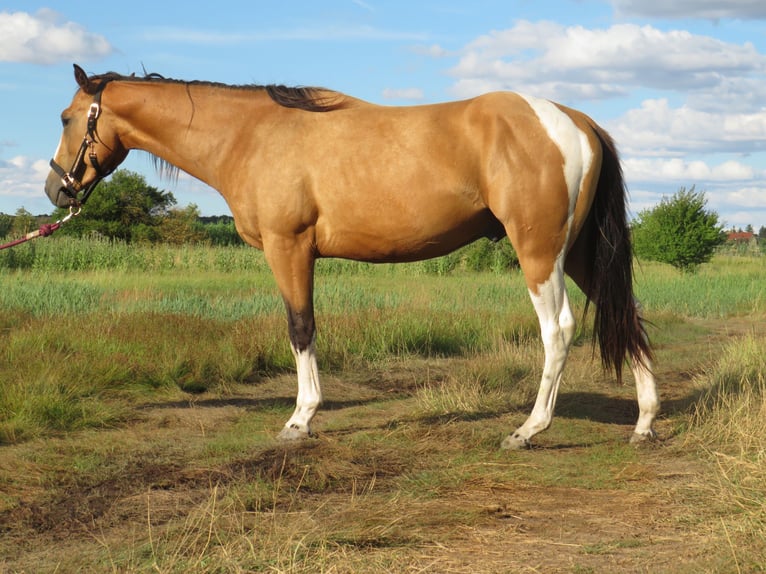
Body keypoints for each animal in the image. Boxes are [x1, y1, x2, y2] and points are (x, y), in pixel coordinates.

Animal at [45, 64, 664, 450]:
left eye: (66, 118)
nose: (57, 191)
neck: (252, 134)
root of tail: (573, 120)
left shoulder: (289, 247)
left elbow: (300, 328)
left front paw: (300, 419)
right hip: (579, 252)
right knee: (626, 315)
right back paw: (644, 423)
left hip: (538, 252)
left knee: (558, 330)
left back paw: (528, 430)